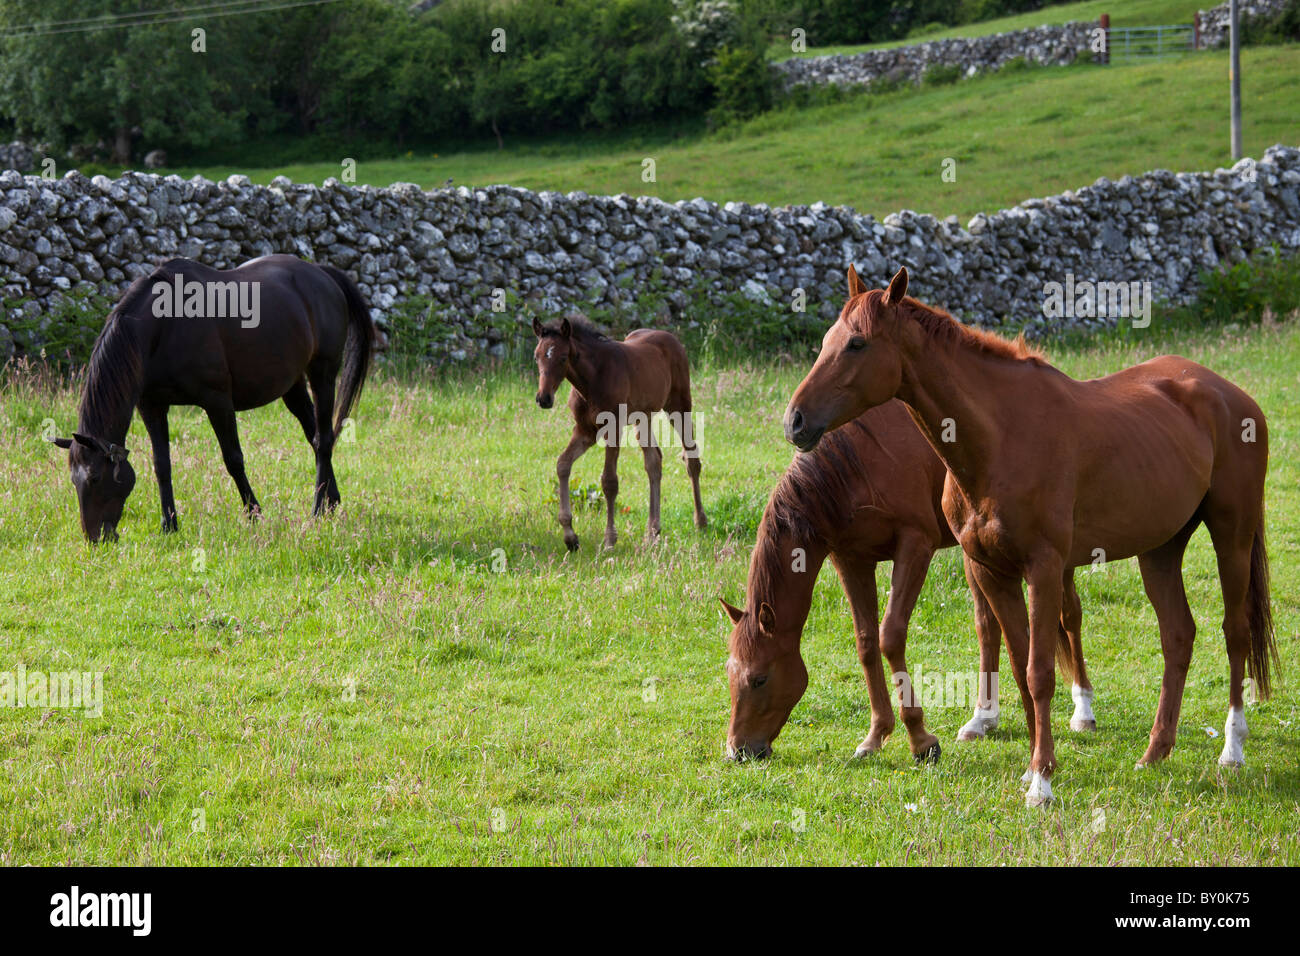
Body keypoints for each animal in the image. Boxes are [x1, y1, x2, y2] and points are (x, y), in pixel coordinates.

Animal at [50, 254, 374, 541]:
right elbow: (161, 465)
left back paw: (317, 510)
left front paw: (254, 515)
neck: (162, 327)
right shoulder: (152, 406)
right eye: (73, 480)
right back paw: (331, 501)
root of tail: (321, 274)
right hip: (292, 384)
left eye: (94, 478)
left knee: (323, 439)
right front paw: (169, 525)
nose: (96, 538)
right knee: (314, 435)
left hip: (322, 374)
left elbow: (234, 460)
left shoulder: (217, 401)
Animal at [533, 316, 707, 548]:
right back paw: (653, 531)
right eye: (536, 356)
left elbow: (609, 481)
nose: (543, 398)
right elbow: (562, 464)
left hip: (679, 406)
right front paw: (570, 536)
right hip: (643, 417)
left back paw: (700, 521)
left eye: (562, 358)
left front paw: (609, 539)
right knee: (654, 462)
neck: (592, 380)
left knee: (691, 458)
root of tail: (672, 338)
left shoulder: (613, 429)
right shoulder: (585, 430)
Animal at [722, 400, 1097, 764]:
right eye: (729, 674)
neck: (852, 466)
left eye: (759, 679)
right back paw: (982, 718)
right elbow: (866, 643)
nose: (737, 751)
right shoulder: (851, 559)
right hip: (977, 557)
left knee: (1069, 616)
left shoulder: (915, 546)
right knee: (988, 627)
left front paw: (921, 740)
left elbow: (890, 636)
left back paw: (1083, 709)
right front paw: (876, 735)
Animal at [785, 265, 1274, 806]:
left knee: (1235, 632)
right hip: (1161, 550)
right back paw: (1155, 751)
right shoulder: (991, 571)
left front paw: (1041, 780)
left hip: (1232, 535)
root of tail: (1230, 394)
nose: (796, 420)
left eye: (857, 344)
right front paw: (1035, 764)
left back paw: (1232, 749)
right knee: (1178, 635)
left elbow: (1041, 671)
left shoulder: (1043, 568)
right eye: (826, 341)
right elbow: (1019, 665)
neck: (1001, 437)